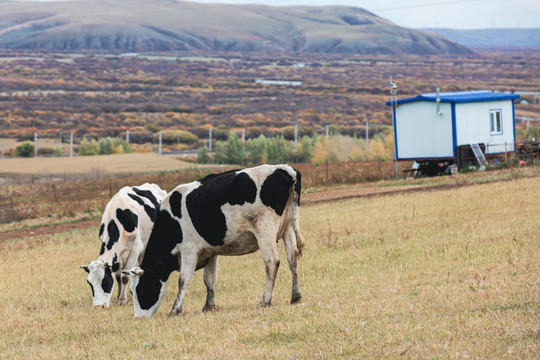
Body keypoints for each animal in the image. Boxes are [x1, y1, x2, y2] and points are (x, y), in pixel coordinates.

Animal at [127, 164, 304, 318]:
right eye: (131, 291)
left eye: (141, 290)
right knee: (293, 260)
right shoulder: (210, 252)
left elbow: (183, 280)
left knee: (271, 262)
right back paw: (295, 297)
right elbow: (209, 279)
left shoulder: (189, 249)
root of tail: (284, 169)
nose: (138, 318)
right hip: (288, 227)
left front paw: (175, 310)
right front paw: (208, 306)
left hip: (265, 229)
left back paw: (265, 301)